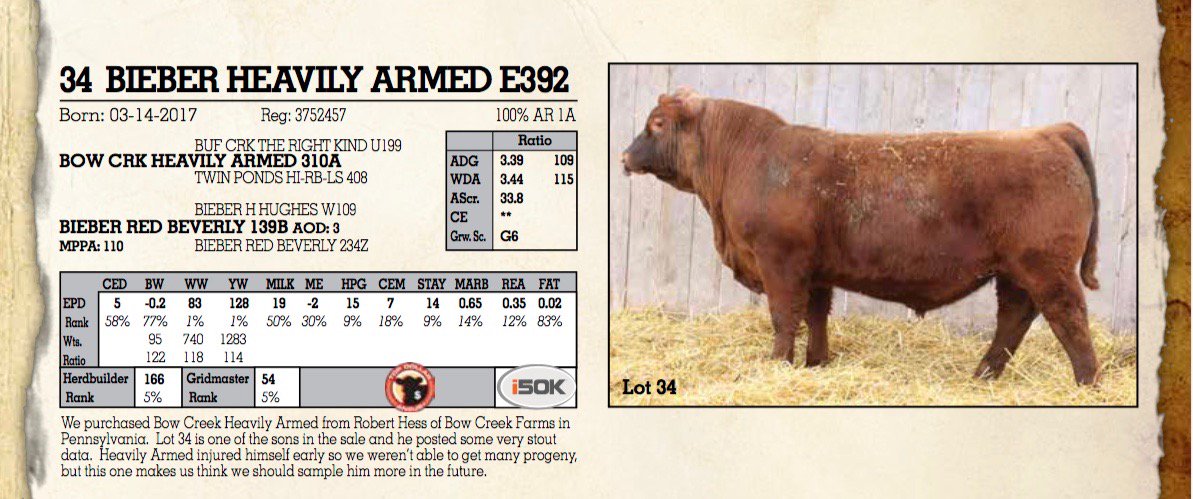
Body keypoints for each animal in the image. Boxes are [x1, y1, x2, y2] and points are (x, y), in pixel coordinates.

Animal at [620, 87, 1102, 385]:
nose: (624, 156)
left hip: (1047, 268)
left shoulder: (781, 263)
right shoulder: (815, 271)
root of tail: (1048, 133)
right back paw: (983, 376)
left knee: (1068, 317)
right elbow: (815, 315)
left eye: (657, 123)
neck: (747, 159)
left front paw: (778, 364)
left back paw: (1086, 383)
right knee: (1014, 318)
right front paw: (815, 363)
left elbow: (784, 317)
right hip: (1015, 272)